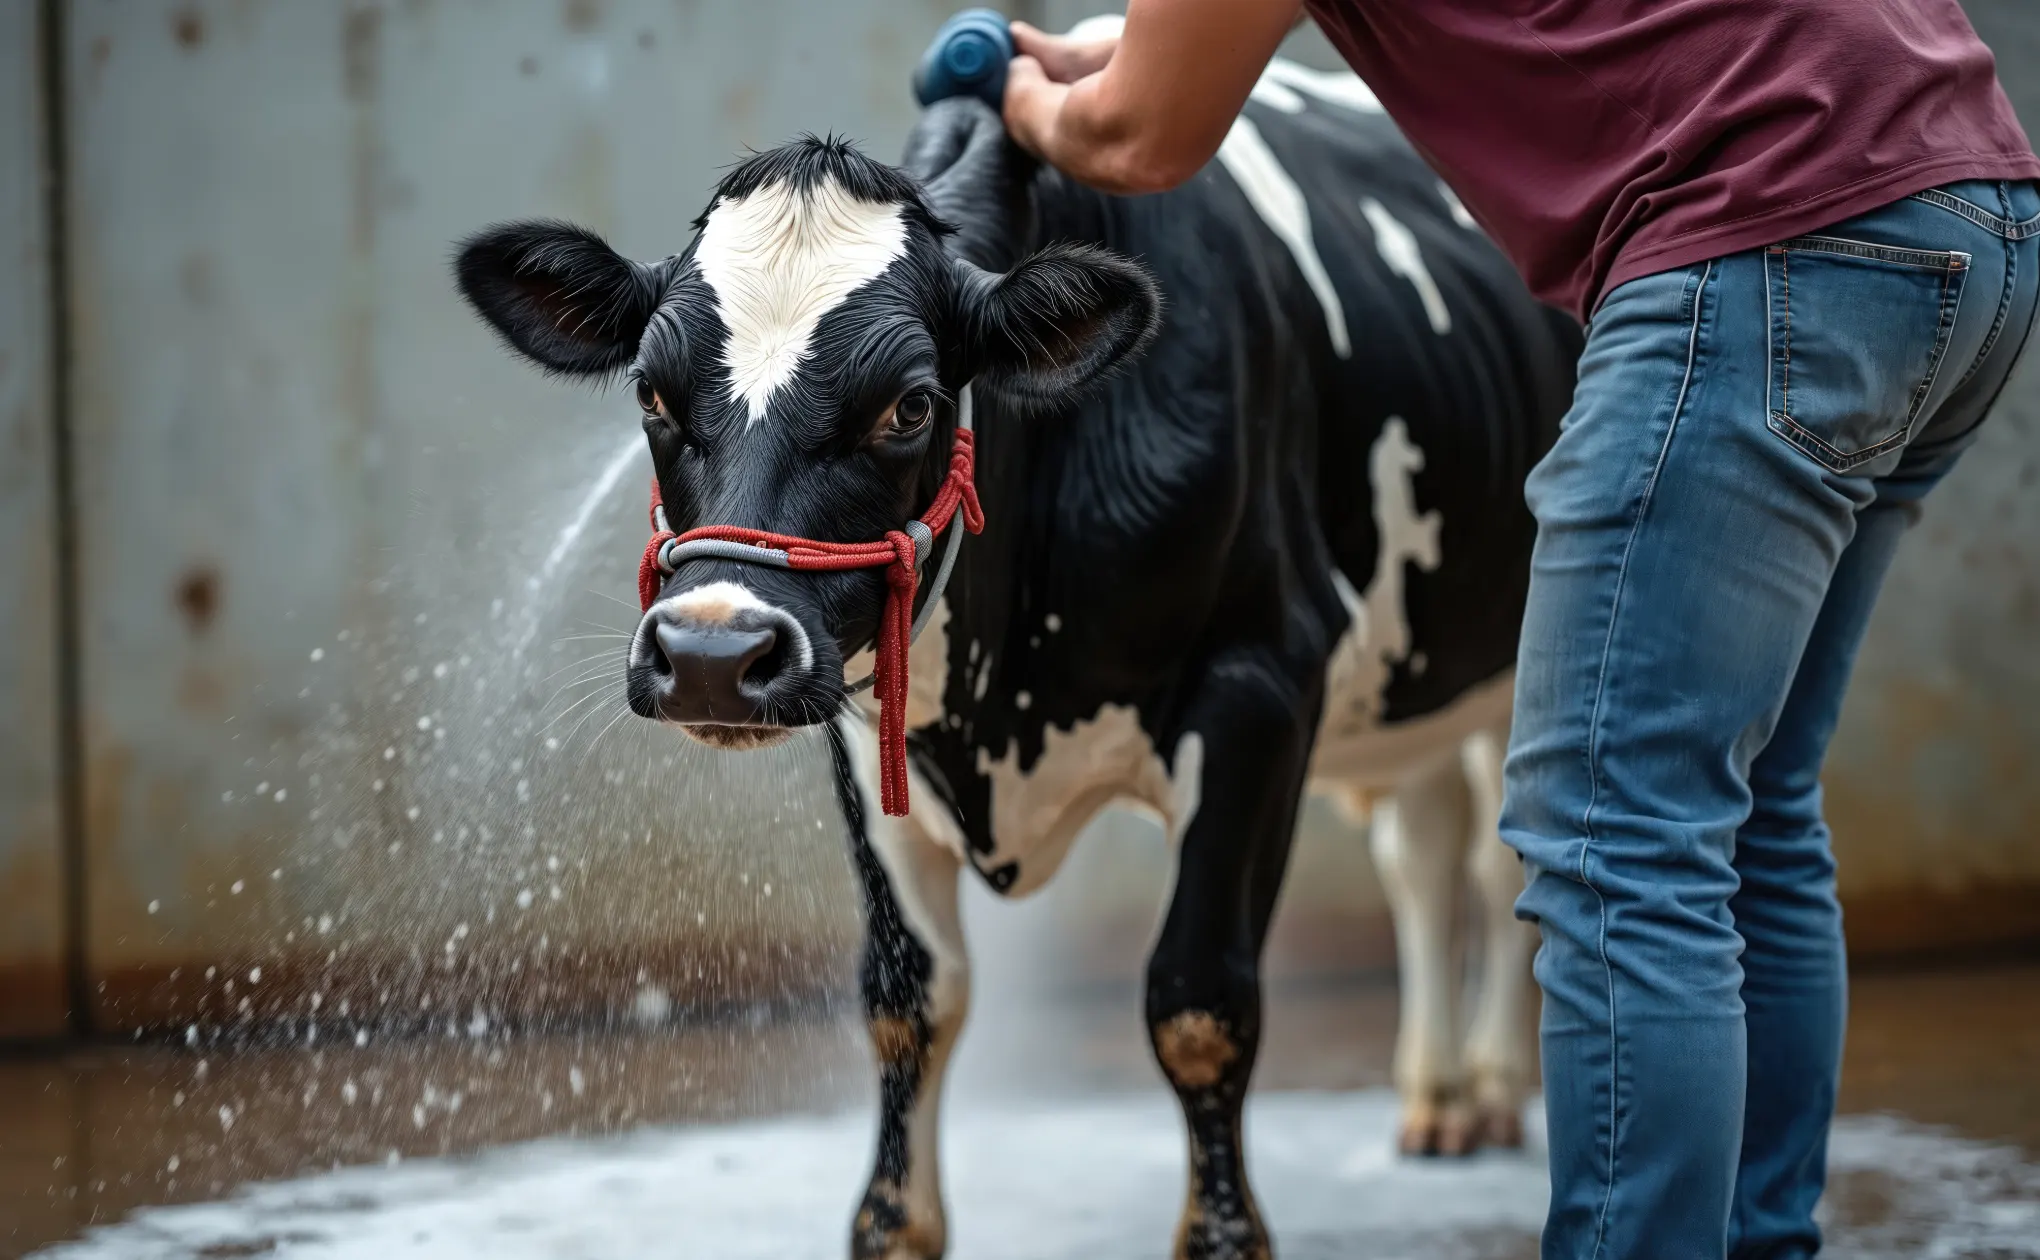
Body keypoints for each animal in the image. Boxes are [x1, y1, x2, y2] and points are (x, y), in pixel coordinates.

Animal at [455, 40, 1580, 1260]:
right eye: (652, 393)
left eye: (909, 406)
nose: (713, 652)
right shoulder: (862, 721)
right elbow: (906, 998)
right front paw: (892, 1223)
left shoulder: (1261, 685)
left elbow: (1199, 1001)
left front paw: (1222, 1235)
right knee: (1427, 853)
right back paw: (1443, 1099)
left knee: (1497, 861)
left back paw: (1491, 1088)